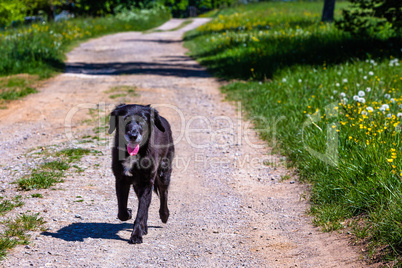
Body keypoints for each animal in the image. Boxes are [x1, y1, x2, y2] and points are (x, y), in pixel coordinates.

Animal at [108, 103, 174, 244]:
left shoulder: (146, 182)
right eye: (125, 119)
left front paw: (136, 235)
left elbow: (142, 210)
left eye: (143, 120)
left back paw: (164, 215)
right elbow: (122, 211)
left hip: (163, 173)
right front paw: (129, 213)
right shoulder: (121, 179)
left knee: (164, 193)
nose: (133, 135)